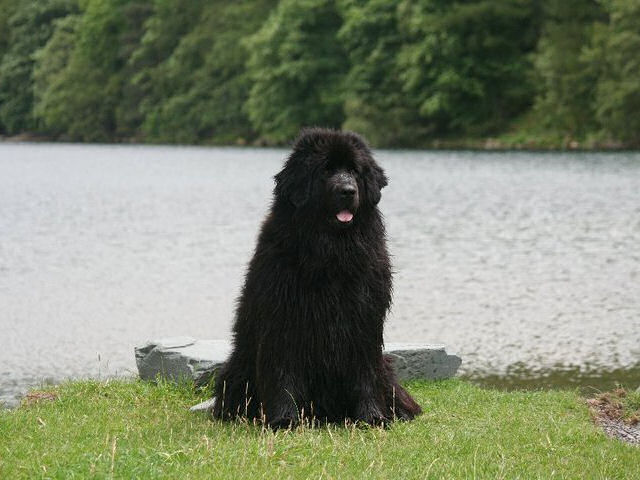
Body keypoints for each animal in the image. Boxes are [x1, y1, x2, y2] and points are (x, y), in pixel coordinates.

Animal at [211, 127, 420, 428]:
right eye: (325, 170)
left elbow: (365, 373)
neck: (330, 251)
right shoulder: (283, 318)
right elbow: (283, 373)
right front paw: (284, 419)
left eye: (354, 170)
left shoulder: (364, 319)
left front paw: (372, 417)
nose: (348, 191)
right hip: (237, 368)